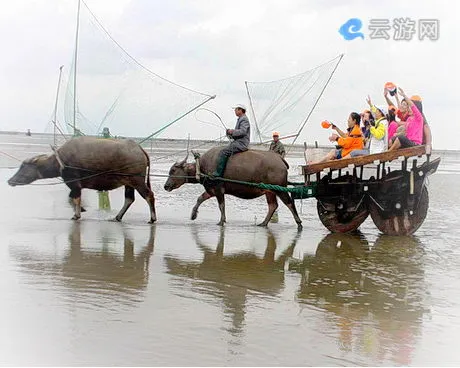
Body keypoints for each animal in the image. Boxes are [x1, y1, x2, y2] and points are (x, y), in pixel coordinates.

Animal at [7, 135, 156, 221]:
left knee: (149, 195)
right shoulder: (75, 185)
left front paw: (77, 214)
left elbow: (74, 198)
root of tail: (139, 149)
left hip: (137, 181)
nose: (10, 181)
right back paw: (117, 217)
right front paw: (80, 211)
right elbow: (72, 198)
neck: (61, 161)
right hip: (128, 183)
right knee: (129, 199)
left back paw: (152, 218)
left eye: (23, 167)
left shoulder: (74, 183)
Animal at [164, 146, 304, 227]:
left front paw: (221, 221)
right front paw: (193, 215)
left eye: (173, 170)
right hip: (269, 191)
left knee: (289, 203)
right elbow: (200, 198)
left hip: (279, 189)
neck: (202, 167)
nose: (166, 186)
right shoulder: (210, 190)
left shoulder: (219, 190)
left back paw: (299, 223)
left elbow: (221, 205)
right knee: (273, 205)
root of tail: (280, 159)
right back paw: (263, 223)